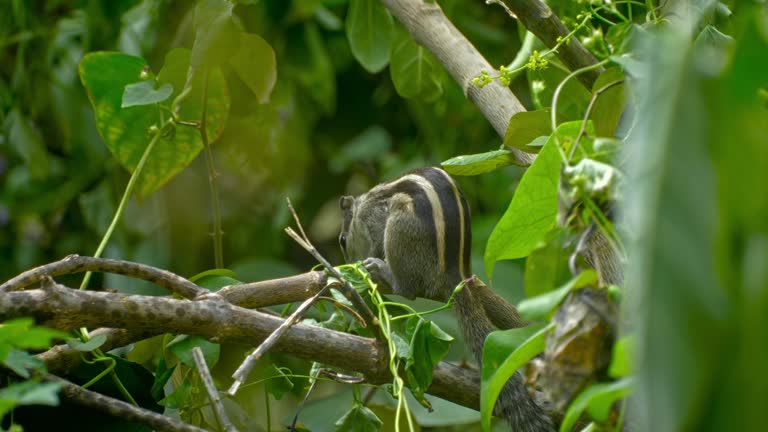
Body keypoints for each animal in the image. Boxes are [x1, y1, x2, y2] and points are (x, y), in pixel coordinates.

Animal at [338, 167, 552, 430]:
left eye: (343, 240)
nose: (348, 262)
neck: (362, 207)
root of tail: (455, 273)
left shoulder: (375, 220)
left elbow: (377, 241)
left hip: (401, 226)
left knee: (408, 288)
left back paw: (384, 272)